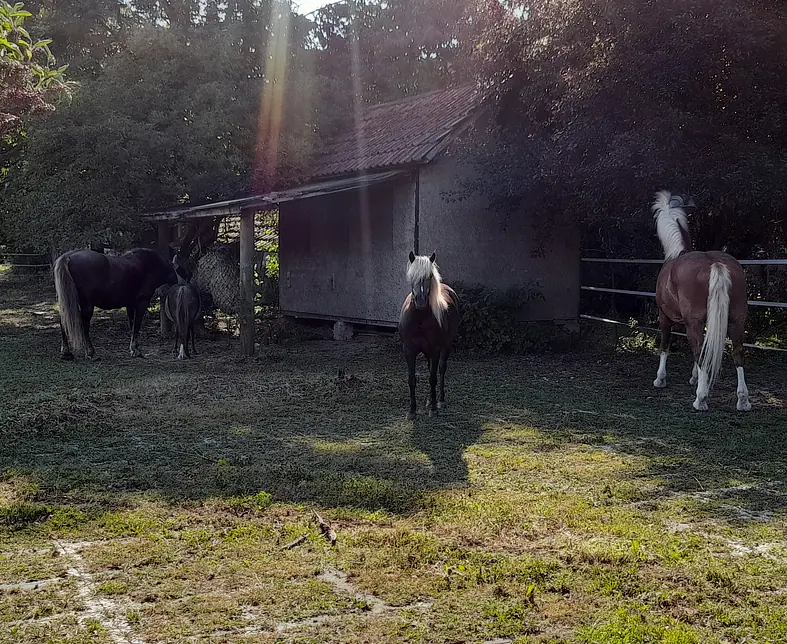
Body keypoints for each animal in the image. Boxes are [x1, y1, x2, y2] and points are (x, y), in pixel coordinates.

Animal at [400, 249, 462, 420]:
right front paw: (412, 411)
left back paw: (440, 400)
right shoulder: (409, 351)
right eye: (412, 276)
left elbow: (433, 378)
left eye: (429, 277)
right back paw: (429, 400)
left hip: (445, 347)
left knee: (440, 370)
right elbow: (412, 379)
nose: (420, 301)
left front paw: (434, 409)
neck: (420, 318)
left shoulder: (435, 350)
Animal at [648, 191, 756, 412]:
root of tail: (715, 263)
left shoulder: (665, 317)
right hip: (736, 321)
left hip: (693, 323)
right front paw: (695, 377)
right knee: (738, 354)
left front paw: (660, 379)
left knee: (700, 352)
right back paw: (743, 401)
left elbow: (665, 346)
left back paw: (701, 399)